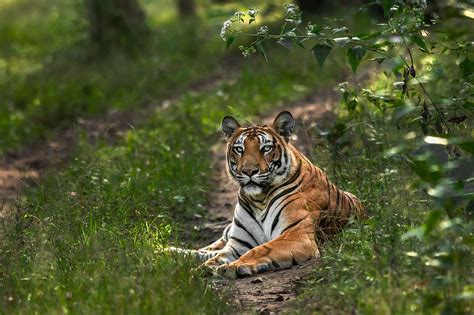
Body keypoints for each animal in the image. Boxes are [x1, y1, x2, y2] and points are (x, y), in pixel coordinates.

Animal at [168, 111, 364, 278]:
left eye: (266, 148)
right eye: (239, 149)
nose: (249, 171)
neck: (259, 200)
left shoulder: (296, 235)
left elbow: (260, 249)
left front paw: (233, 267)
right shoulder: (239, 243)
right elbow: (217, 256)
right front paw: (202, 269)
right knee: (206, 250)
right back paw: (168, 251)